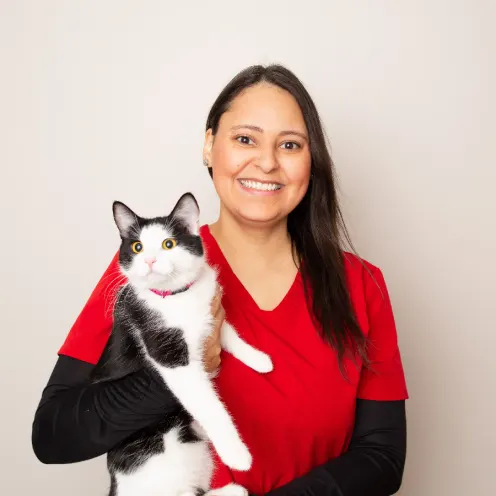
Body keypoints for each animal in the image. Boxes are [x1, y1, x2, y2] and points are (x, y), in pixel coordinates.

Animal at [91, 193, 274, 496]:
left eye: (169, 243)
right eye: (138, 247)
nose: (150, 260)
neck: (176, 297)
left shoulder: (209, 310)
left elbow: (226, 330)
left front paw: (259, 358)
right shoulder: (166, 350)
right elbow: (207, 403)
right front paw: (237, 454)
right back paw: (233, 489)